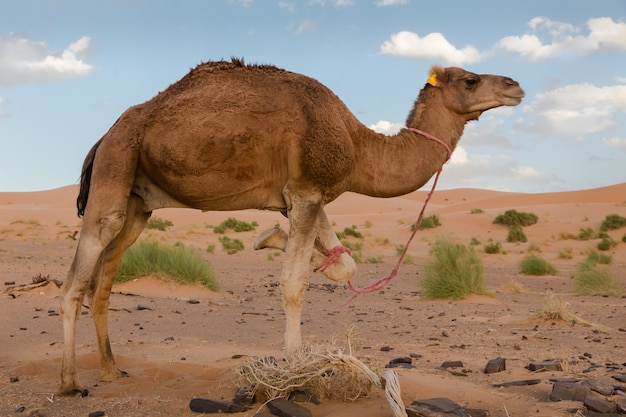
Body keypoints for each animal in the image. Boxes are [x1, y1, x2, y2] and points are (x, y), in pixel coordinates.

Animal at [58, 57, 524, 394]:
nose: (515, 85)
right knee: (77, 278)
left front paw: (270, 238)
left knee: (105, 277)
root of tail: (105, 136)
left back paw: (110, 371)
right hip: (117, 164)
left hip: (139, 200)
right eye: (470, 80)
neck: (358, 144)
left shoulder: (308, 196)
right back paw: (69, 382)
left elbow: (345, 264)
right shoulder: (306, 190)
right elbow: (294, 284)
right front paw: (298, 369)